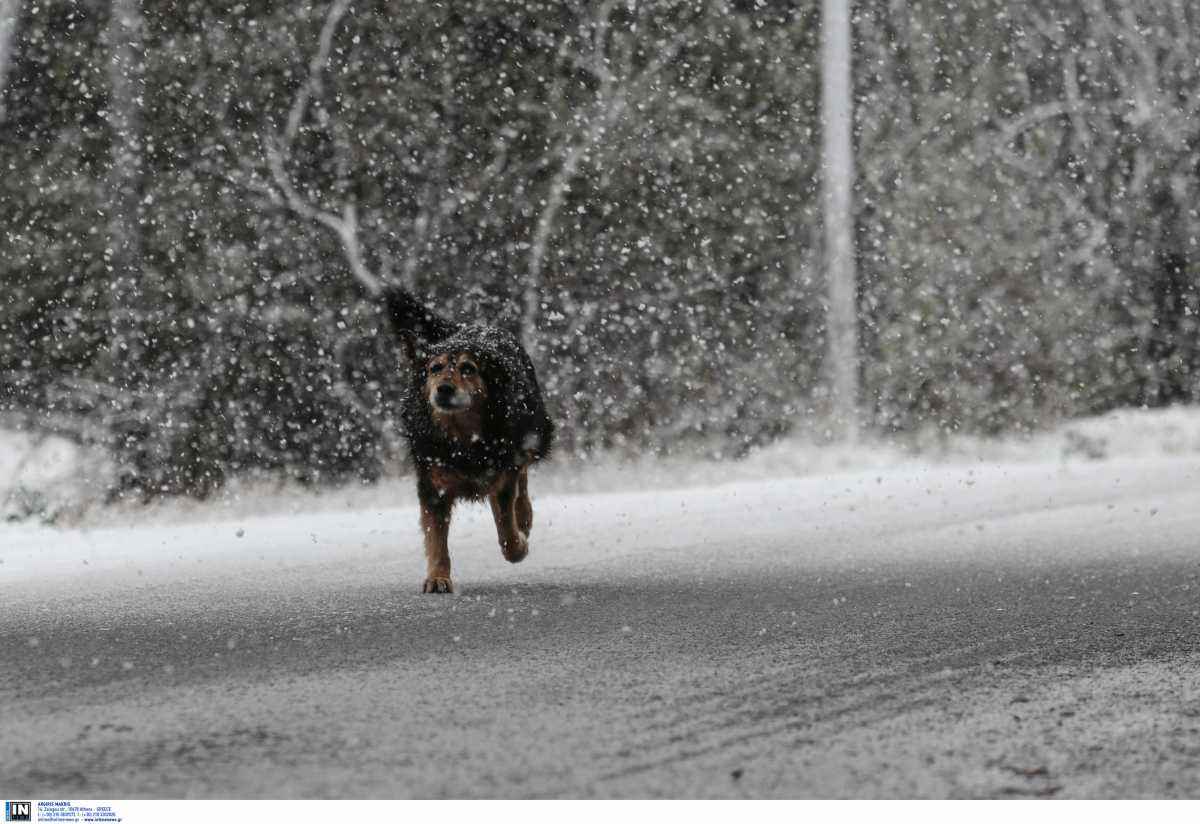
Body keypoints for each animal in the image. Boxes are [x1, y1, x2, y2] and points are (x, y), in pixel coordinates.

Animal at [381, 285, 554, 592]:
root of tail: (468, 328)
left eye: (469, 369)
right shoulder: (433, 483)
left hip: (535, 434)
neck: (462, 436)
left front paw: (518, 545)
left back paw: (524, 516)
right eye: (435, 368)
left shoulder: (503, 469)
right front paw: (438, 577)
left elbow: (506, 525)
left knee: (522, 475)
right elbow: (436, 537)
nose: (444, 389)